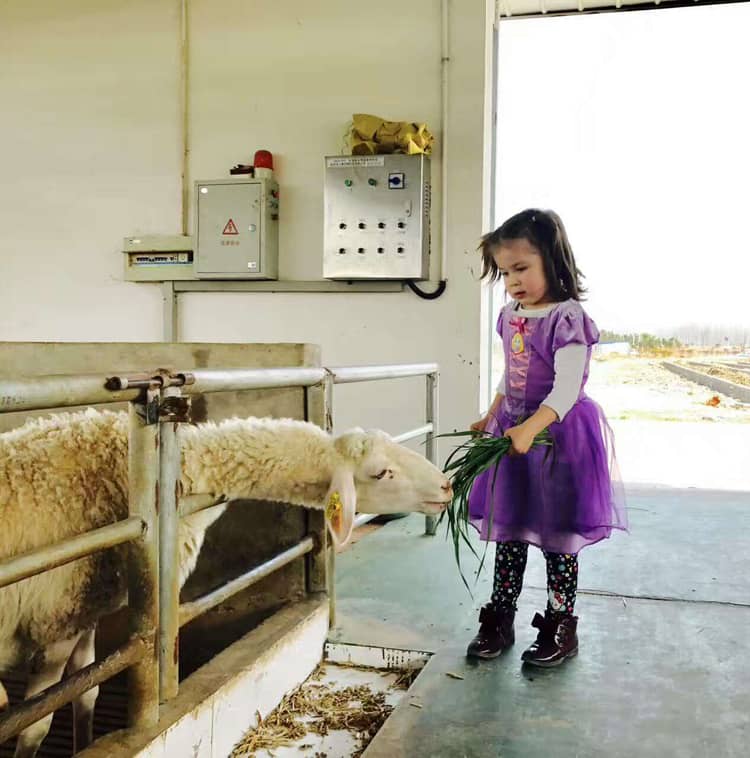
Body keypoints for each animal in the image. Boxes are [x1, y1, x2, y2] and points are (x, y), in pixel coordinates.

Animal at [0, 409, 451, 757]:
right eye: (381, 472)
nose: (447, 486)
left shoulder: (84, 610)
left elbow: (85, 694)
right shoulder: (55, 620)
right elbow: (34, 726)